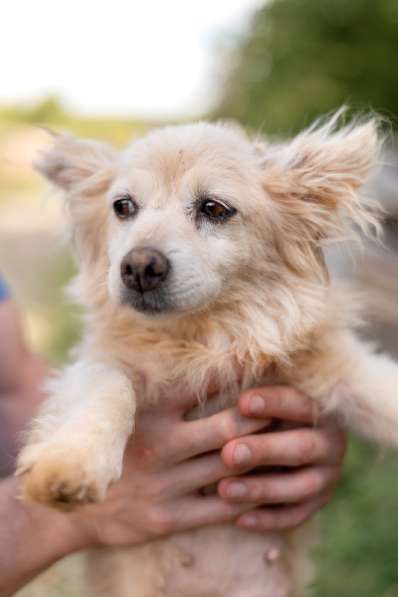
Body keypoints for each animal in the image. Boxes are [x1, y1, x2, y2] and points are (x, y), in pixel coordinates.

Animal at [16, 114, 398, 592]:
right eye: (122, 207)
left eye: (214, 209)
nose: (139, 266)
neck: (203, 340)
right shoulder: (94, 366)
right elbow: (110, 389)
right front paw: (74, 464)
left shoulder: (339, 370)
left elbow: (383, 392)